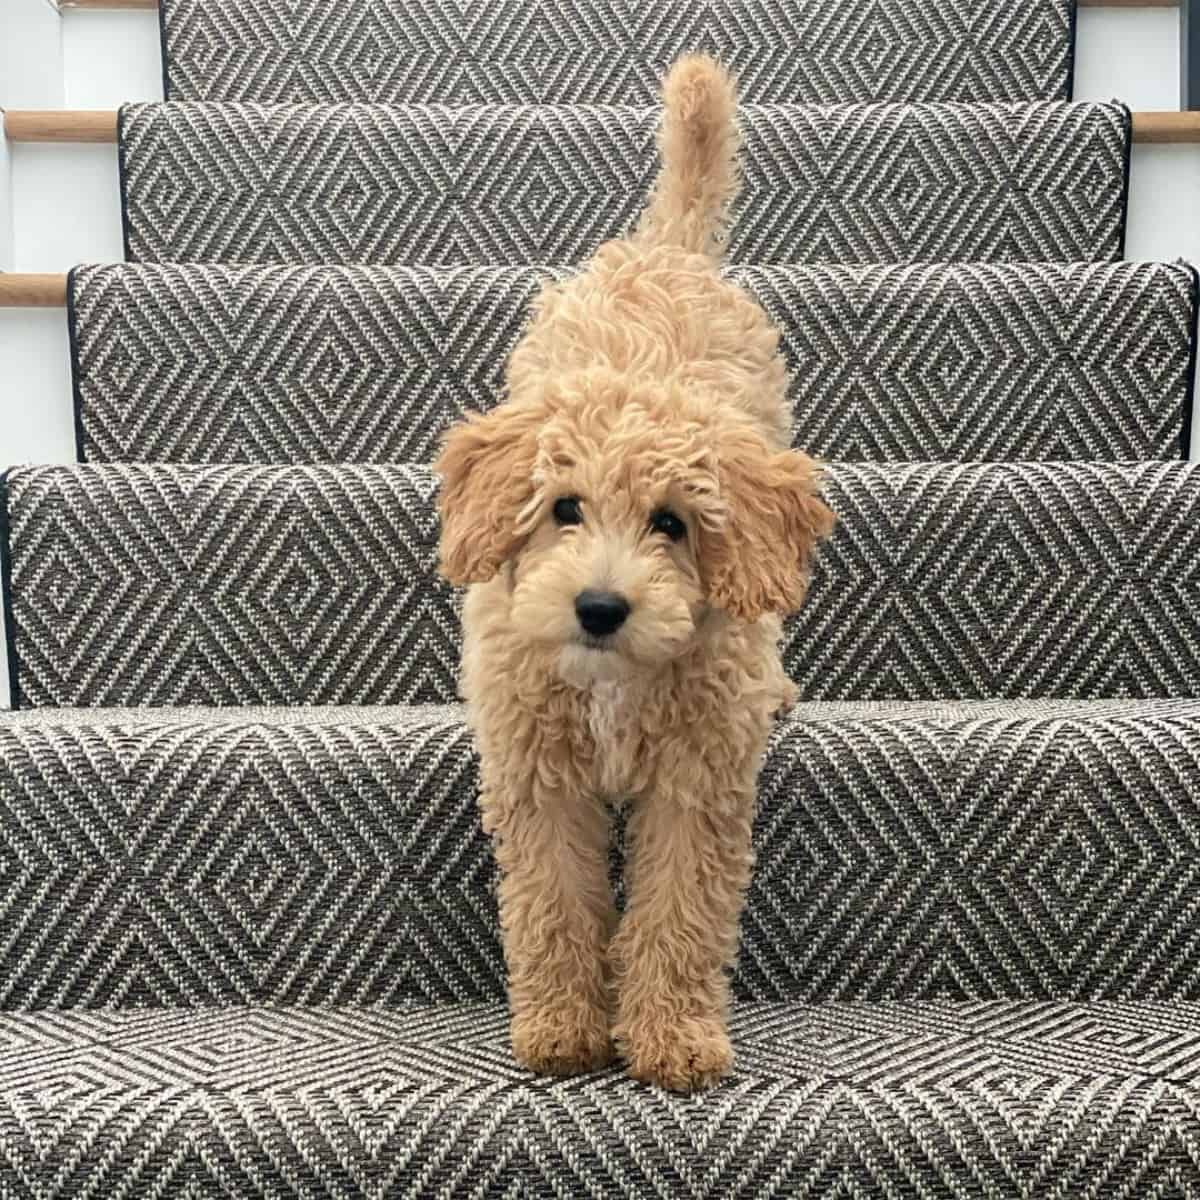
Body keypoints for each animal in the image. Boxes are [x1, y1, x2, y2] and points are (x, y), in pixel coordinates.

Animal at [436, 56, 840, 1094]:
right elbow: (553, 904)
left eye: (671, 524)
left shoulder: (699, 780)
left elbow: (679, 911)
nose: (600, 606)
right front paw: (562, 1029)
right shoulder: (537, 774)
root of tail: (666, 251)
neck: (613, 682)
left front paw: (672, 1038)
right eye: (564, 509)